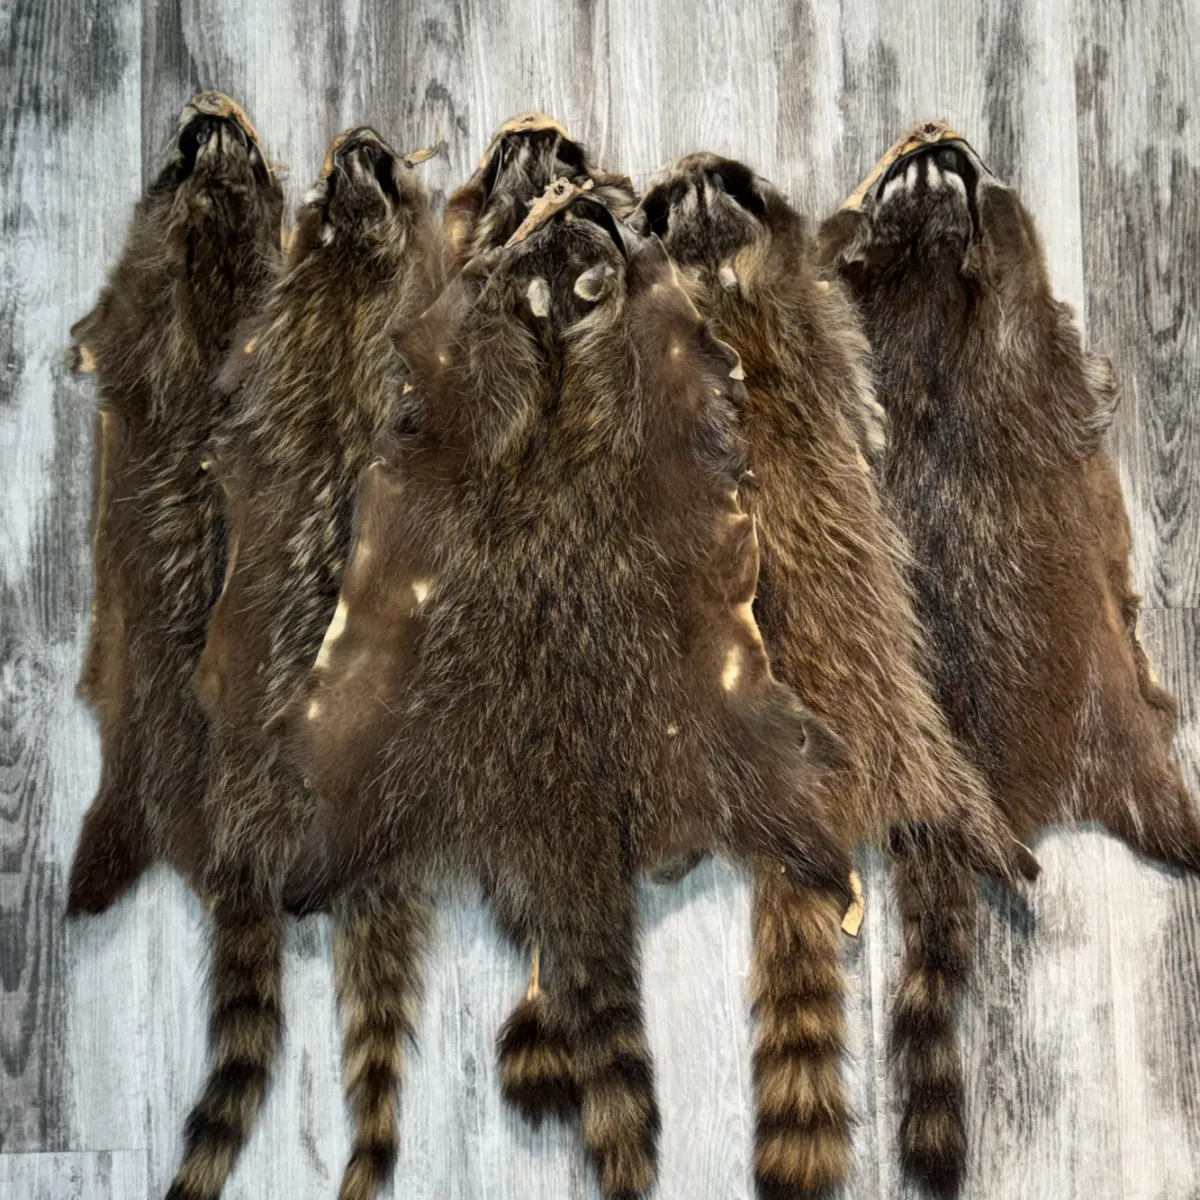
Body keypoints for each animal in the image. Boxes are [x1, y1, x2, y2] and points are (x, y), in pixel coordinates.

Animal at [628, 153, 1036, 1198]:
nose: (686, 169)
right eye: (677, 190)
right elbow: (860, 402)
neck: (719, 261)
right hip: (911, 728)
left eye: (703, 181)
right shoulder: (815, 323)